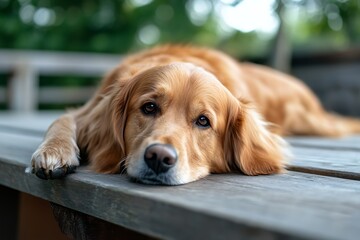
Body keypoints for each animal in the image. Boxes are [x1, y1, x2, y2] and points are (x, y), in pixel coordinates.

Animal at [30, 44, 360, 184]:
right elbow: (59, 120)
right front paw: (54, 153)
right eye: (149, 107)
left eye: (203, 121)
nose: (159, 158)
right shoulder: (86, 111)